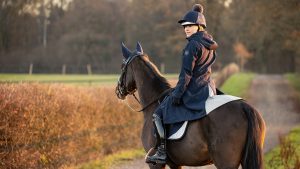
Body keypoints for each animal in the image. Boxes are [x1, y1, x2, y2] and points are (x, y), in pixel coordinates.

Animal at [116, 42, 266, 169]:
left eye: (123, 66)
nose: (118, 91)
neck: (155, 100)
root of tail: (244, 107)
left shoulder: (155, 165)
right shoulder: (176, 164)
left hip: (225, 162)